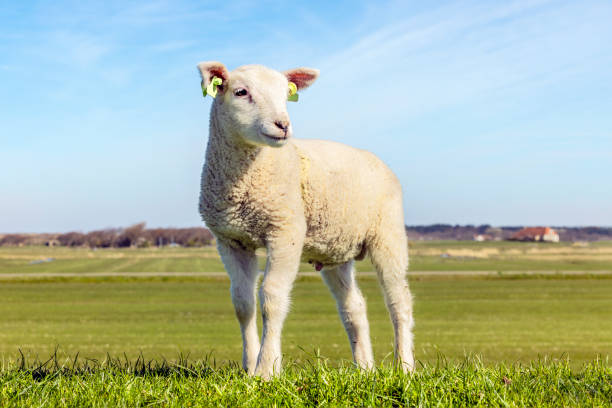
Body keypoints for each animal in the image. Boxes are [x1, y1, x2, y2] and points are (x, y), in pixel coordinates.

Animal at [198, 60, 414, 380]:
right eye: (240, 92)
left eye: (285, 95)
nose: (283, 125)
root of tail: (375, 158)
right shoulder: (230, 240)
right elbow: (243, 303)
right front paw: (250, 367)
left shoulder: (286, 231)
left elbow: (272, 298)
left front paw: (267, 369)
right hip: (336, 250)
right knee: (354, 307)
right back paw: (364, 368)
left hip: (388, 233)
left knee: (399, 302)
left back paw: (405, 367)